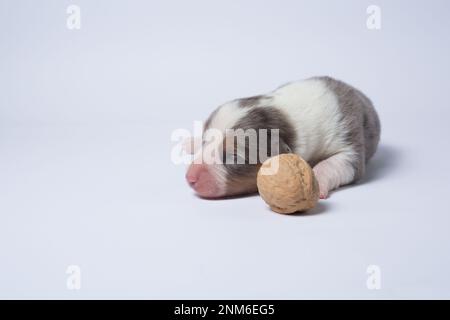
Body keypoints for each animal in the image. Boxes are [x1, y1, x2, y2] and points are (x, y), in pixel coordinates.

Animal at [185, 76, 380, 199]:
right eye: (206, 142)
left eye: (232, 157)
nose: (189, 178)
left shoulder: (349, 141)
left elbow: (336, 163)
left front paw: (317, 180)